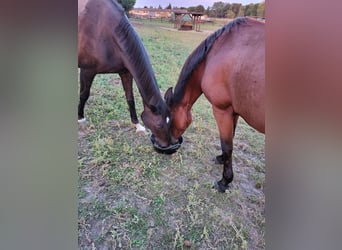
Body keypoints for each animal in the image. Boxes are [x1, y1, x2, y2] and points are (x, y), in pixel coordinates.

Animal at [79, 0, 172, 145]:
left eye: (170, 121)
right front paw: (80, 118)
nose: (167, 144)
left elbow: (130, 99)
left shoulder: (125, 73)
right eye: (159, 125)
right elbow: (84, 94)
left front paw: (137, 125)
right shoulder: (87, 71)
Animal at [163, 17, 264, 192]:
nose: (171, 142)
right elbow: (231, 138)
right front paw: (222, 159)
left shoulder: (221, 110)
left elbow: (226, 144)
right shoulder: (233, 111)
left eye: (169, 120)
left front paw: (225, 181)